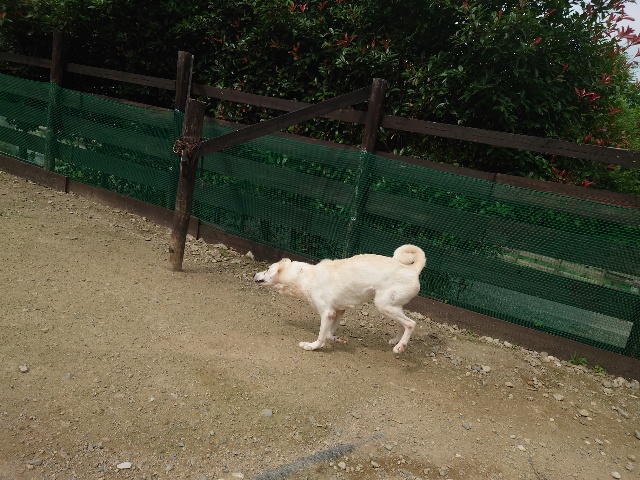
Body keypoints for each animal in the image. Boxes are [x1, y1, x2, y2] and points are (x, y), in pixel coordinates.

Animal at [253, 245, 426, 354]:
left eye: (267, 269)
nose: (254, 274)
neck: (306, 277)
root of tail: (413, 269)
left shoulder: (327, 313)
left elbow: (321, 336)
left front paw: (312, 346)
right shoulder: (339, 311)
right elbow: (329, 332)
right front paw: (336, 339)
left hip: (383, 305)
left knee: (411, 324)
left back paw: (400, 347)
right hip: (391, 306)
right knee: (402, 325)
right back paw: (396, 341)